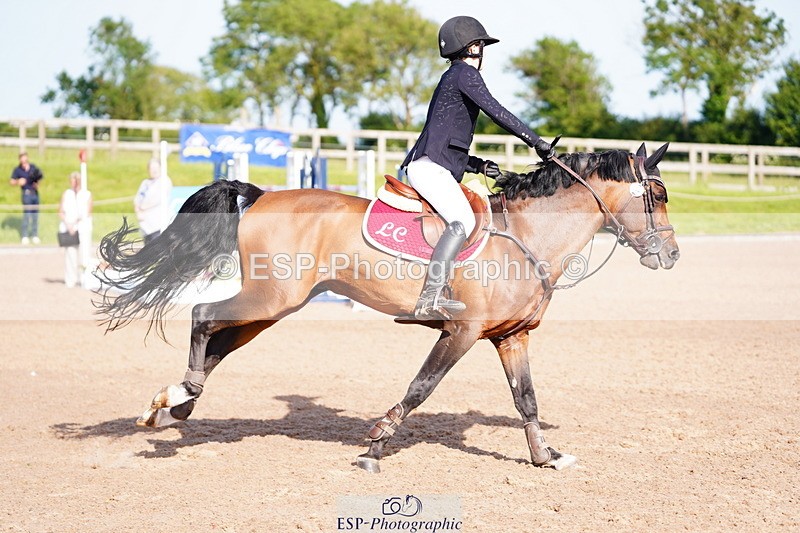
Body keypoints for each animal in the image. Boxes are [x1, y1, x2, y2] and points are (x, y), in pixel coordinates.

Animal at [96, 142, 679, 473]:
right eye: (659, 195)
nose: (671, 255)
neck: (527, 236)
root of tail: (261, 195)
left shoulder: (512, 336)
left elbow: (527, 399)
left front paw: (545, 458)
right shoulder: (461, 332)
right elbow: (421, 388)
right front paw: (375, 446)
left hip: (273, 306)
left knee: (219, 340)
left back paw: (176, 402)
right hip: (271, 296)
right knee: (203, 317)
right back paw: (180, 396)